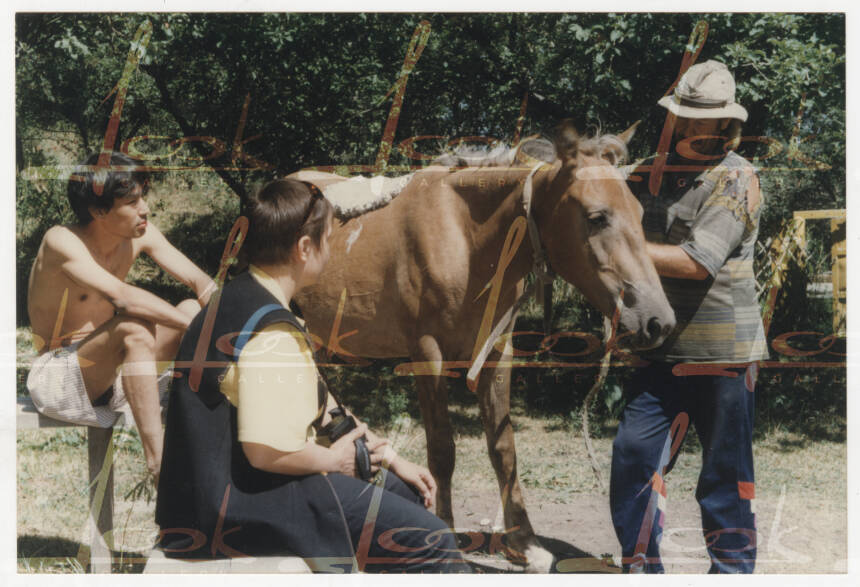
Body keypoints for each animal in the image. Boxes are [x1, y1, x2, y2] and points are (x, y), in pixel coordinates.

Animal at [290, 124, 680, 568]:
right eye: (597, 217)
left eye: (638, 213)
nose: (658, 321)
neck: (465, 238)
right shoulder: (428, 355)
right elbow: (442, 450)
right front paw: (444, 532)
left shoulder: (497, 354)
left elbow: (504, 449)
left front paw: (525, 543)